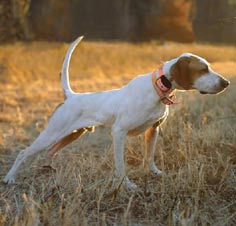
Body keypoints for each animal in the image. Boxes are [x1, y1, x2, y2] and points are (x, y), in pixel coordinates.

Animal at [3, 36, 229, 189]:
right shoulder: (119, 132)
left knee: (50, 151)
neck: (157, 88)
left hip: (73, 134)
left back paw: (49, 171)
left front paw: (155, 173)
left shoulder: (154, 129)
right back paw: (10, 178)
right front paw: (126, 185)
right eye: (203, 70)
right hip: (52, 133)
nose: (226, 83)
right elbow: (121, 165)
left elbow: (150, 157)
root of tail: (71, 96)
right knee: (24, 153)